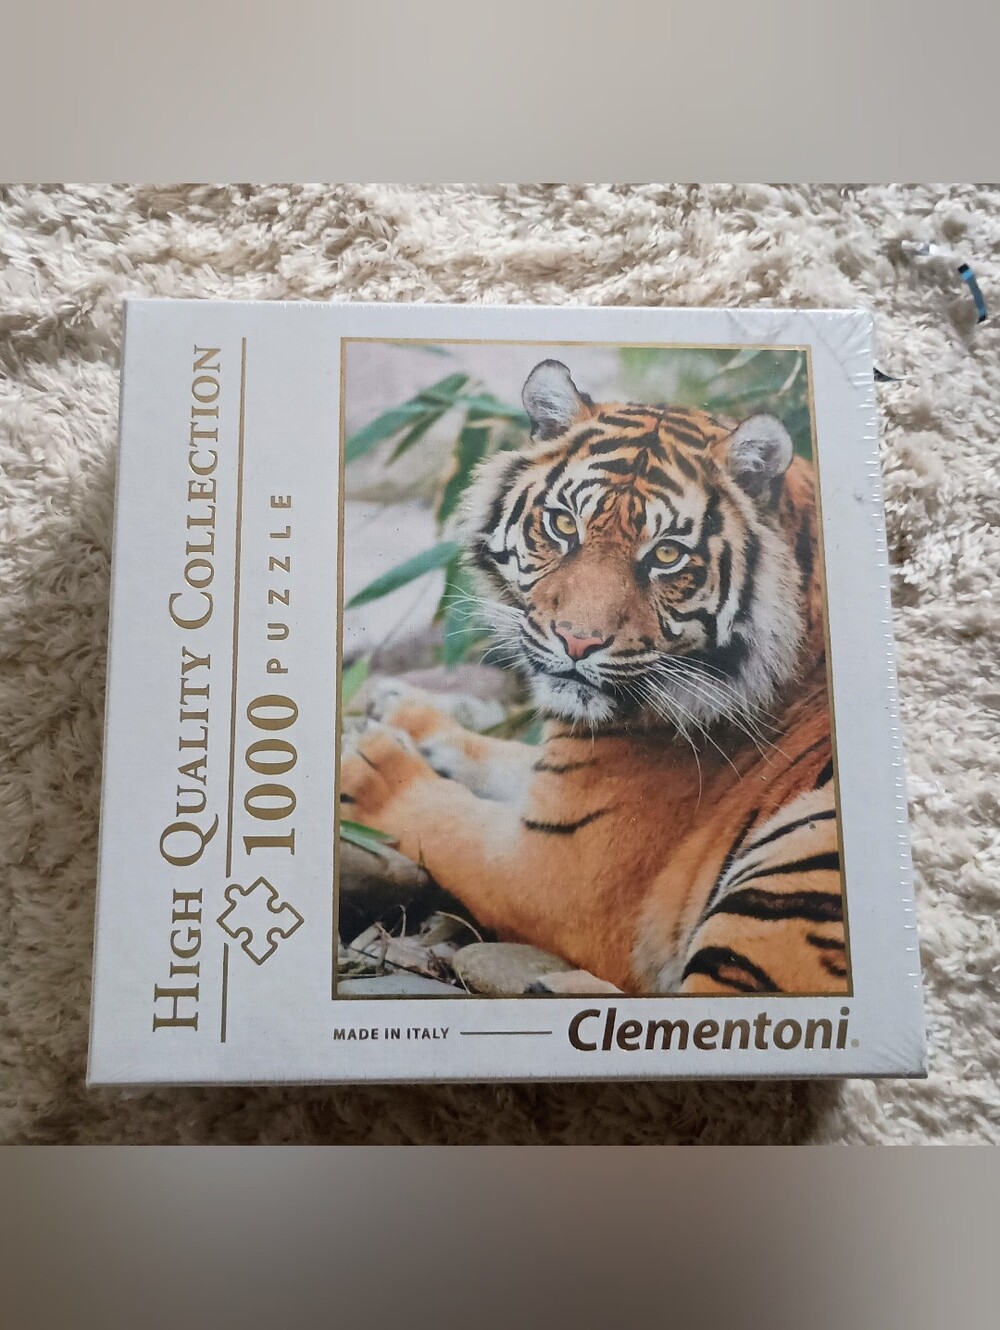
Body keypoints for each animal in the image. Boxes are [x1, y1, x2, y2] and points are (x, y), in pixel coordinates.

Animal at [340, 359, 848, 996]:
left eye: (667, 556)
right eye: (562, 525)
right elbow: (504, 757)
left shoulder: (558, 871)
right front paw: (398, 708)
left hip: (793, 869)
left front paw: (372, 765)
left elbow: (447, 820)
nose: (577, 640)